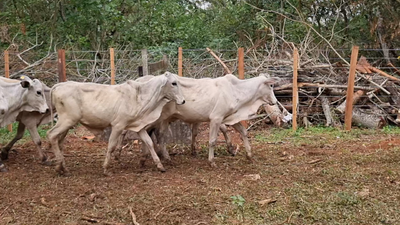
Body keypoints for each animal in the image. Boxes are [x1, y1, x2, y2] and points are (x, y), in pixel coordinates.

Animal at [47, 71, 186, 175]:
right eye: (173, 83)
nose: (183, 101)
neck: (139, 96)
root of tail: (59, 85)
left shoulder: (139, 126)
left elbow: (149, 143)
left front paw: (160, 166)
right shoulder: (118, 126)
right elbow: (111, 146)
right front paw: (105, 168)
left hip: (67, 123)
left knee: (59, 141)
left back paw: (62, 167)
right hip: (67, 120)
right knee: (51, 135)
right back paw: (60, 166)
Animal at [139, 74, 280, 167]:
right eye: (271, 85)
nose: (275, 101)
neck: (236, 90)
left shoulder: (230, 118)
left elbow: (243, 132)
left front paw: (249, 156)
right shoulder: (216, 118)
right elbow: (212, 141)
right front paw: (211, 161)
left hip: (164, 120)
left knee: (156, 135)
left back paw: (152, 157)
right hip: (156, 118)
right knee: (152, 135)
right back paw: (157, 158)